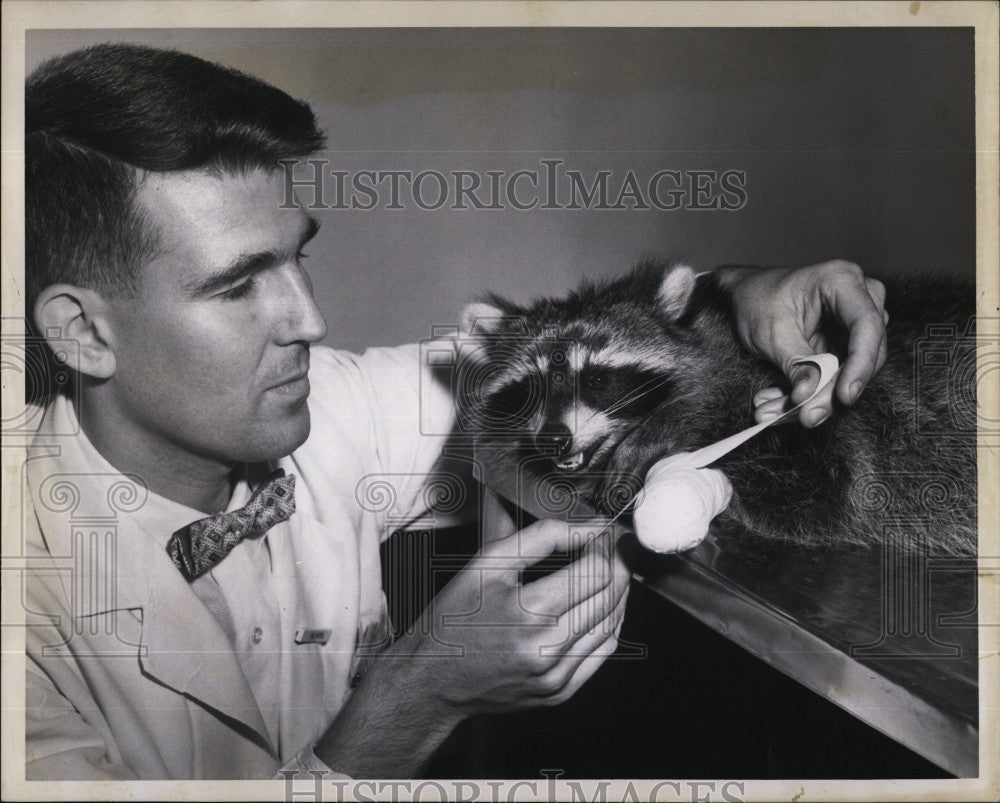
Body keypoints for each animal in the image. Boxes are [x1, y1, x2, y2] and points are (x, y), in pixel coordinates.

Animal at [460, 260, 976, 556]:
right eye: (532, 388)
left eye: (599, 380)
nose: (553, 438)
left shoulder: (845, 439)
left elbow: (830, 484)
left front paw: (664, 432)